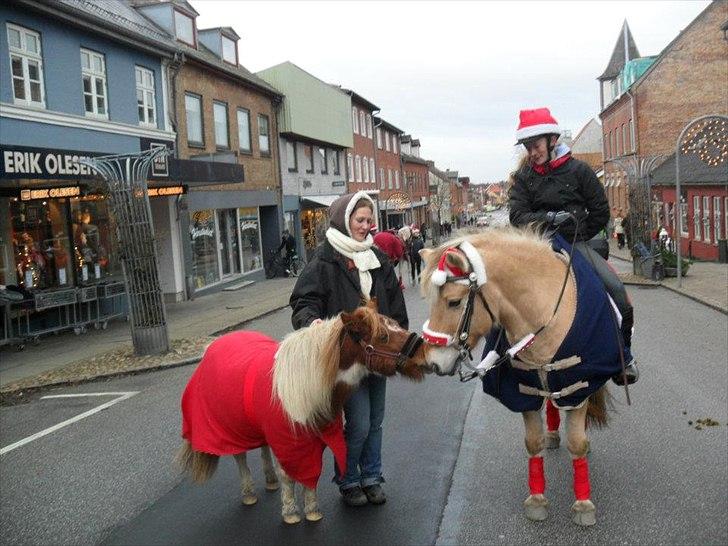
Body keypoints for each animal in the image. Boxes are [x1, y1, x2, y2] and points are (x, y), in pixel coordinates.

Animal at [176, 302, 426, 524]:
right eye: (383, 336)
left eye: (396, 325)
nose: (423, 353)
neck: (305, 382)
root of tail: (214, 344)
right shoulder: (286, 441)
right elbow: (289, 475)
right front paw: (290, 513)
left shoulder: (311, 440)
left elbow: (310, 474)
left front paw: (312, 509)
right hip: (232, 426)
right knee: (240, 456)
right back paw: (248, 493)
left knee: (263, 448)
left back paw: (270, 480)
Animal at [418, 225, 628, 524]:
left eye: (454, 302)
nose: (434, 362)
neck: (545, 312)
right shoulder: (523, 390)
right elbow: (532, 442)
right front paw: (537, 499)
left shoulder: (577, 387)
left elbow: (577, 442)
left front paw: (583, 504)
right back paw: (552, 435)